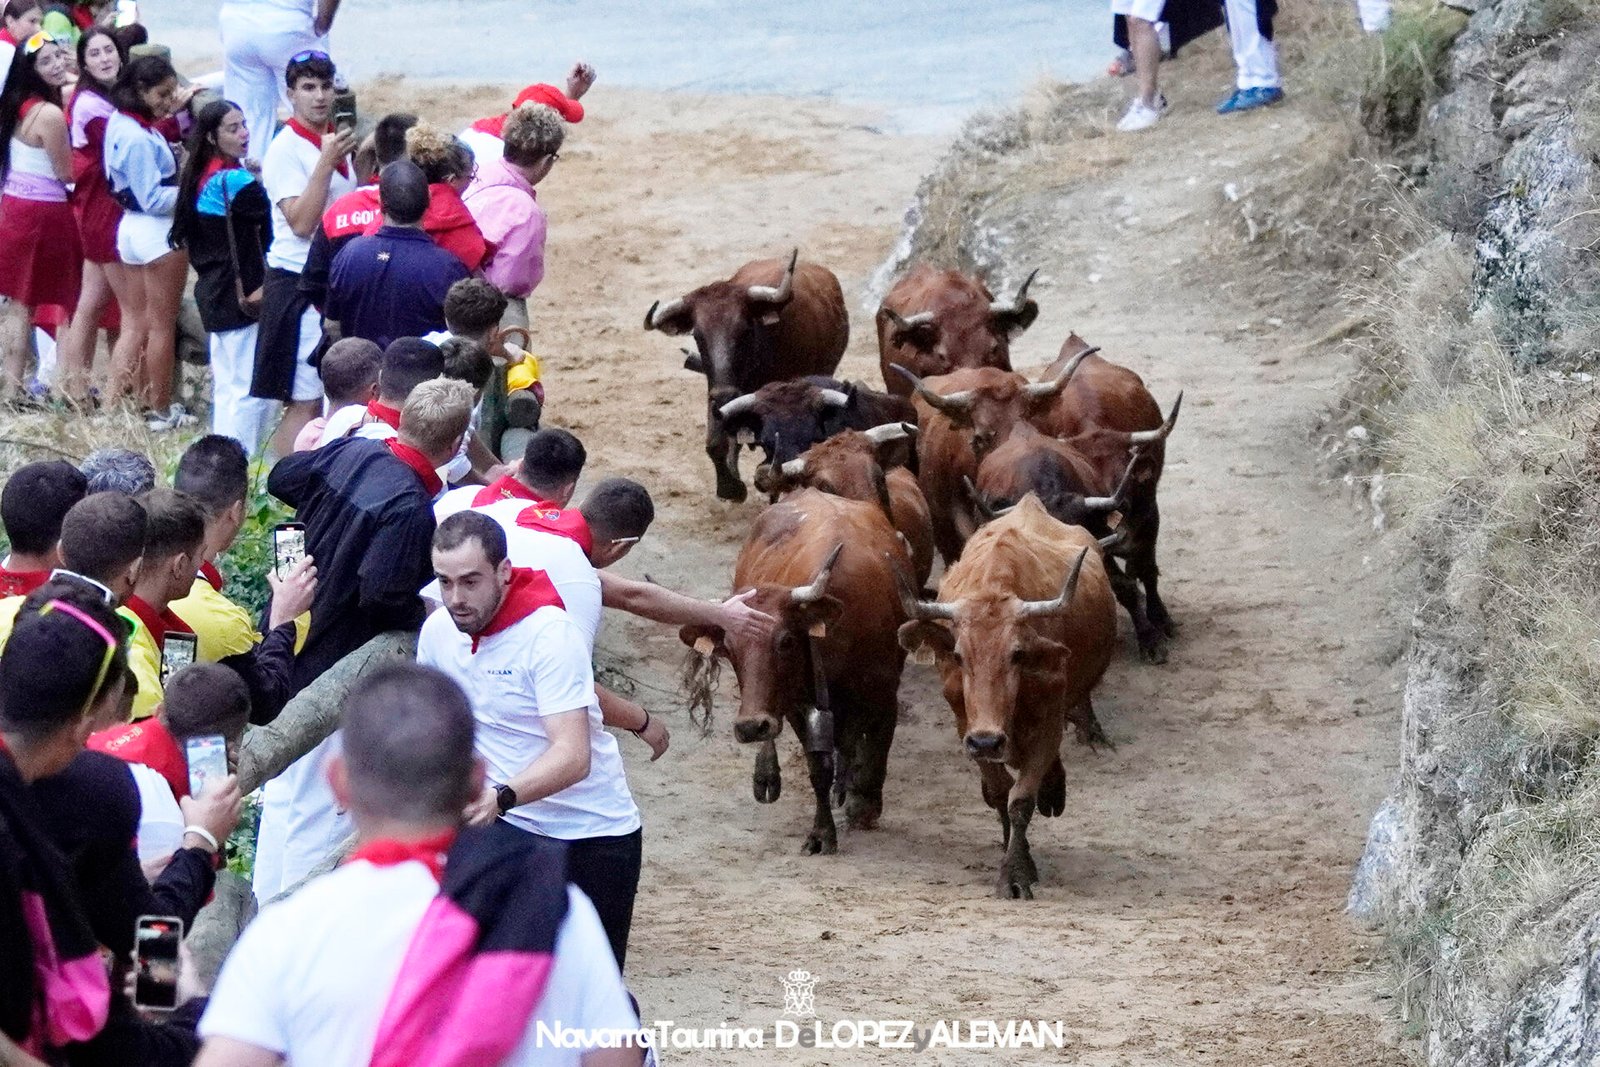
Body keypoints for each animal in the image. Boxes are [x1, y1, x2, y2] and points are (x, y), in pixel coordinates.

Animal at [646, 251, 857, 502]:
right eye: (698, 335)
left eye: (744, 330)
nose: (725, 394)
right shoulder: (718, 397)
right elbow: (715, 443)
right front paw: (730, 487)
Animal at [896, 495, 1120, 895]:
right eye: (958, 655)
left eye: (1016, 654)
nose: (988, 741)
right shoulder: (967, 728)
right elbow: (1000, 792)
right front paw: (1013, 853)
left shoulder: (1048, 723)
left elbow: (1022, 800)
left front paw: (1015, 873)